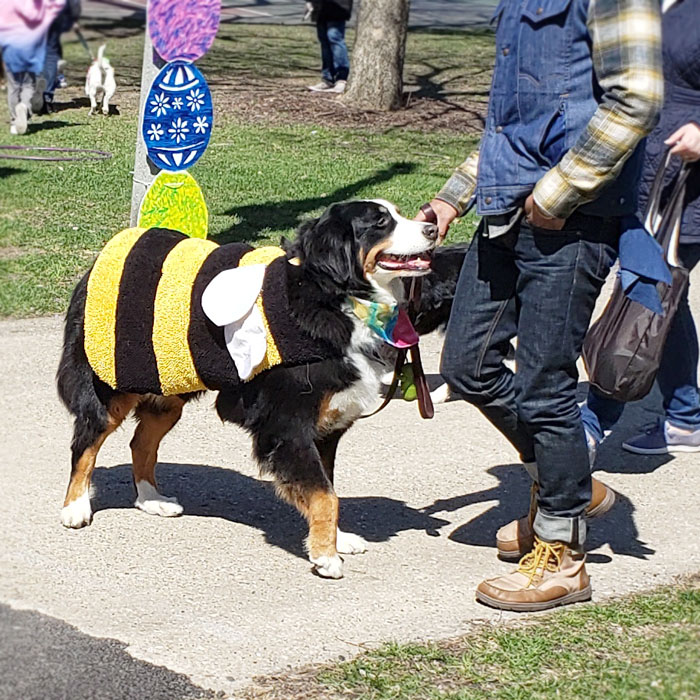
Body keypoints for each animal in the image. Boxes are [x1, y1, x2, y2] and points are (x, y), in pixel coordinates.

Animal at [58, 198, 442, 580]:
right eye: (380, 222)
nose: (433, 228)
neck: (332, 296)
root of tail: (100, 259)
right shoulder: (287, 426)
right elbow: (324, 495)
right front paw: (325, 556)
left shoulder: (327, 428)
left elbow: (327, 488)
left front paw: (337, 539)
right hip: (111, 388)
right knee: (85, 446)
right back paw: (76, 507)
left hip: (168, 387)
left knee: (141, 443)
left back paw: (152, 499)